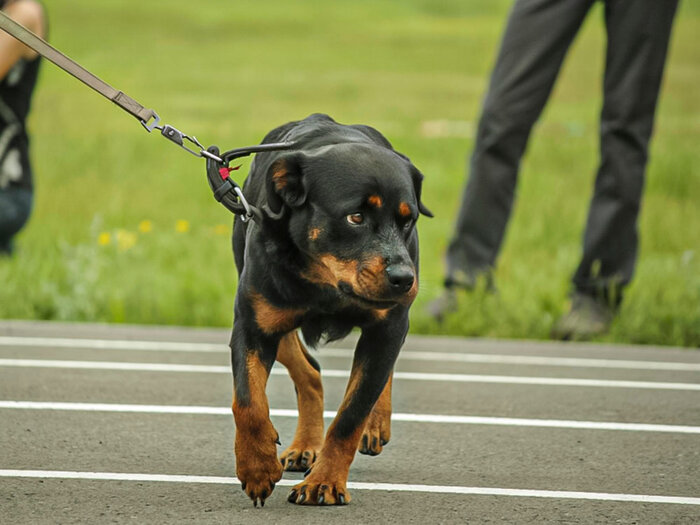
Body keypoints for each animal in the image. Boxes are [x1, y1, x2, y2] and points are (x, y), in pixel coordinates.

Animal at [208, 113, 430, 504]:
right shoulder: (253, 326)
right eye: (355, 217)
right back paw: (304, 446)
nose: (404, 278)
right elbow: (247, 401)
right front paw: (257, 465)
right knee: (308, 370)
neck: (326, 285)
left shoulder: (388, 326)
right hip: (278, 318)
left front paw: (325, 481)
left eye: (408, 220)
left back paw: (375, 423)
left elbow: (351, 414)